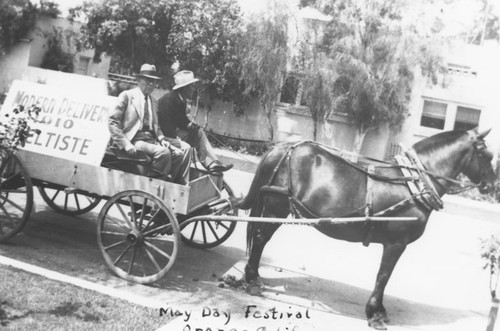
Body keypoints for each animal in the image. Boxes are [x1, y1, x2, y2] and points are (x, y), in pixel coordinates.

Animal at [237, 128, 496, 330]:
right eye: (486, 154)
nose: (494, 185)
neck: (413, 183)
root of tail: (281, 148)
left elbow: (384, 277)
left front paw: (378, 310)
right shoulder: (396, 243)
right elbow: (383, 276)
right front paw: (374, 313)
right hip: (276, 210)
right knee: (260, 239)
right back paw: (252, 280)